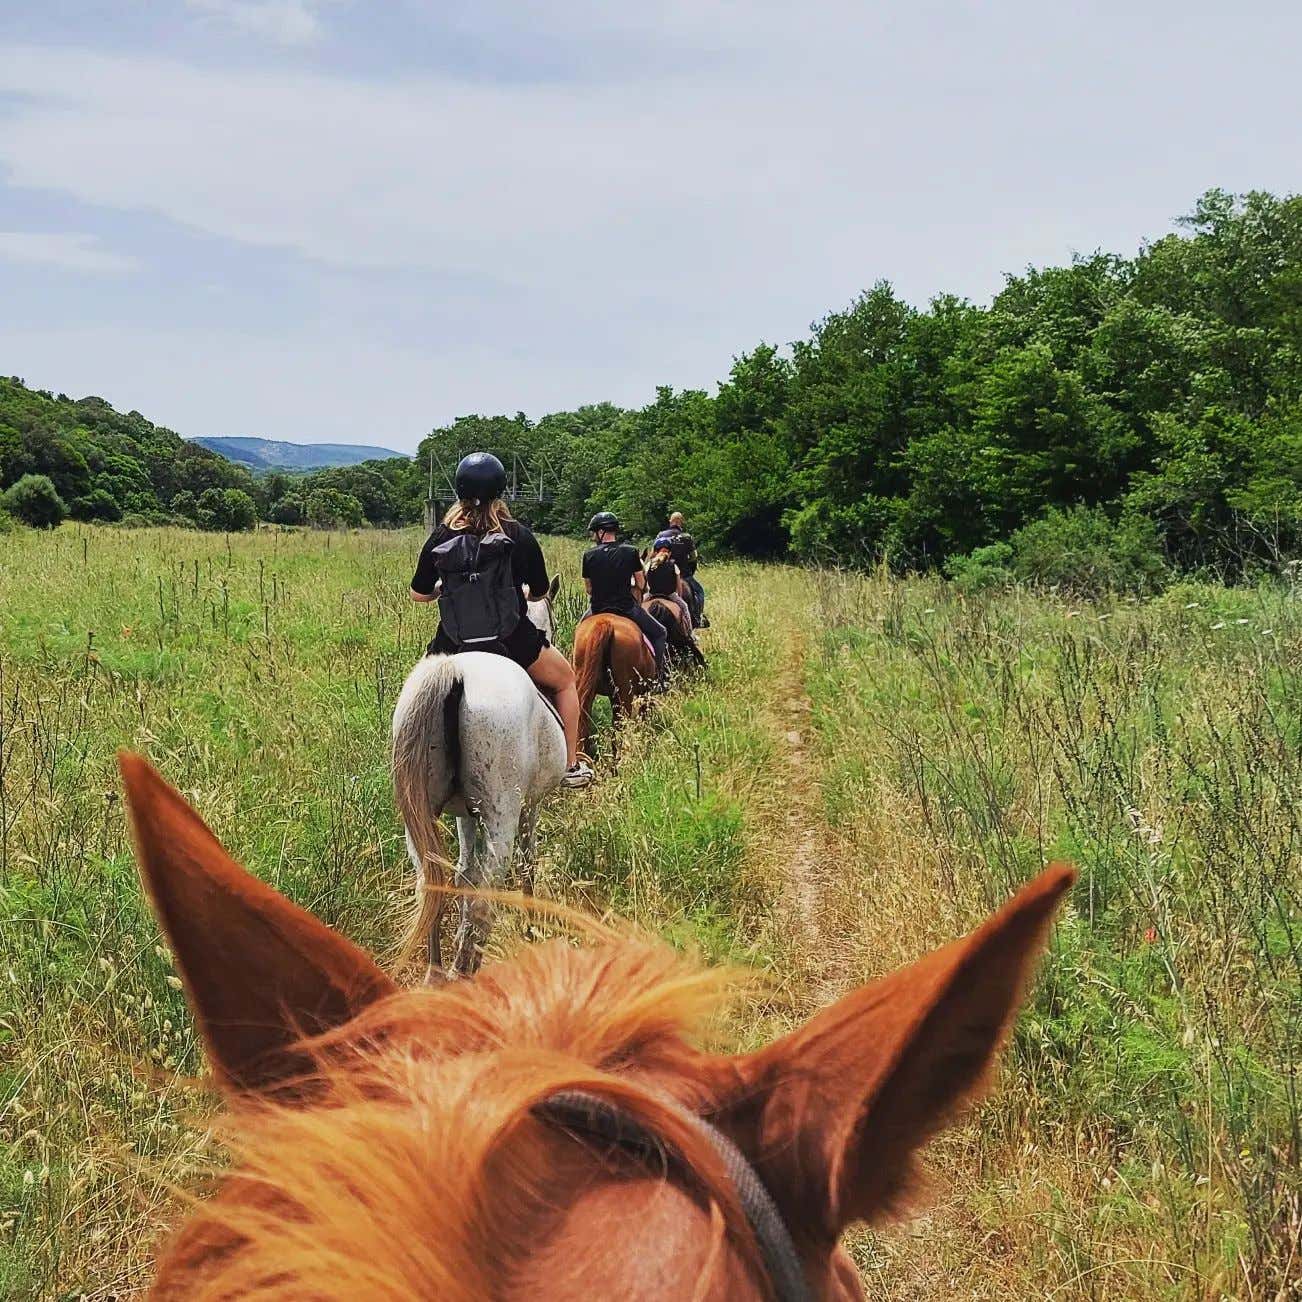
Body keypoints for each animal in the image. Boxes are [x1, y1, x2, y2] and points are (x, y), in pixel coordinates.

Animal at [392, 575, 564, 977]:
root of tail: (453, 673)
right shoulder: (530, 806)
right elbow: (526, 865)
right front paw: (530, 927)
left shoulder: (465, 815)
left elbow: (464, 874)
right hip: (502, 815)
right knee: (490, 891)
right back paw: (464, 972)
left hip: (419, 816)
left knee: (435, 883)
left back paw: (437, 972)